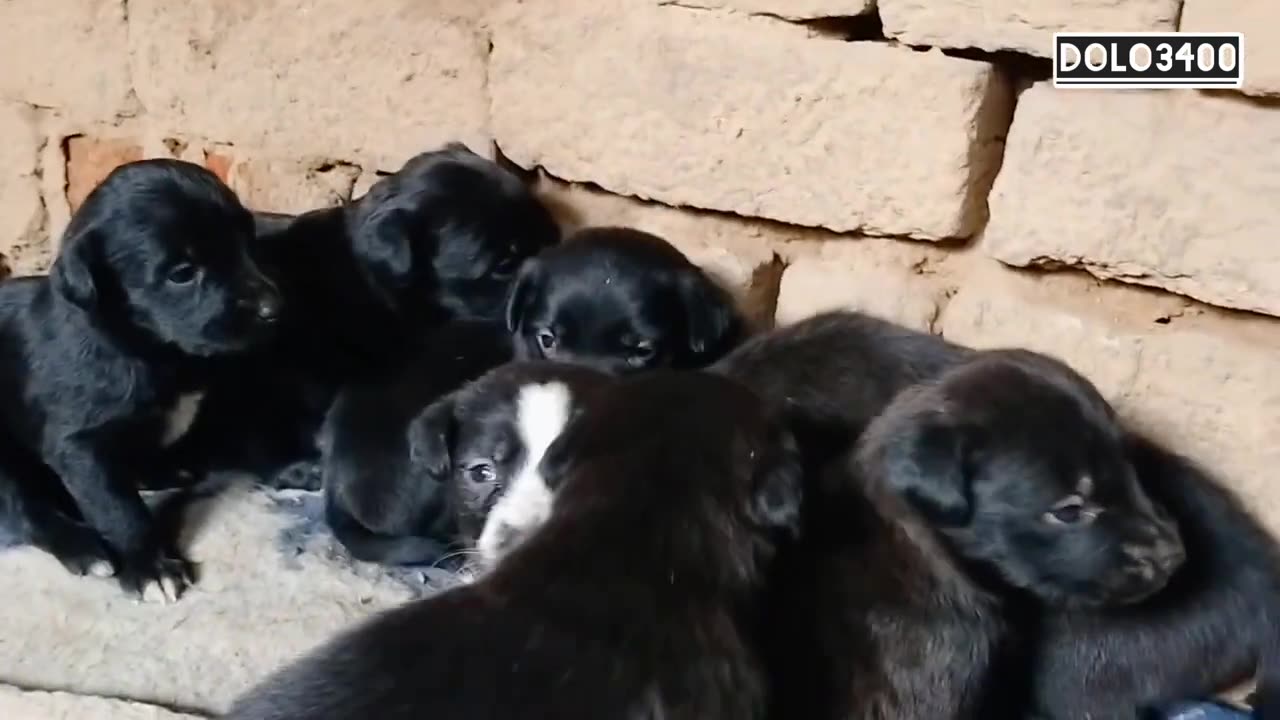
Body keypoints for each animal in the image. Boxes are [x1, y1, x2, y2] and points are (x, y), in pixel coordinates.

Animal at [0, 158, 281, 599]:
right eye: (182, 273)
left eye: (246, 241)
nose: (273, 309)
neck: (146, 347)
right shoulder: (81, 444)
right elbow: (117, 507)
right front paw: (150, 566)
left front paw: (157, 471)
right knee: (26, 509)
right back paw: (82, 547)